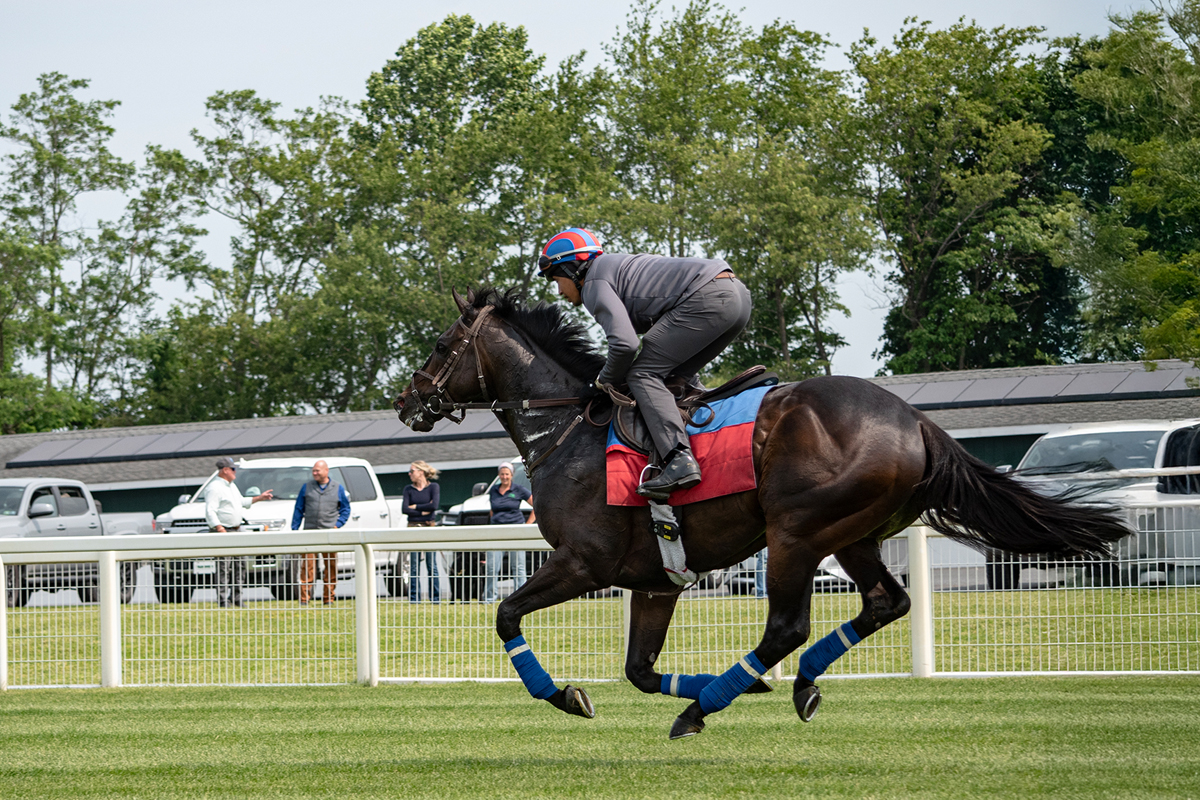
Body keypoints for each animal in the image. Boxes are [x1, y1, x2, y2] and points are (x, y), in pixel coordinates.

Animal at [393, 287, 1131, 739]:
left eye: (440, 346)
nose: (408, 402)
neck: (570, 429)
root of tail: (916, 421)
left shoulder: (584, 562)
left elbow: (505, 614)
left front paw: (565, 696)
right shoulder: (656, 581)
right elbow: (639, 670)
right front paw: (736, 690)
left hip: (797, 532)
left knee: (788, 626)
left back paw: (704, 707)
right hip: (853, 533)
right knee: (886, 603)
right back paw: (790, 685)